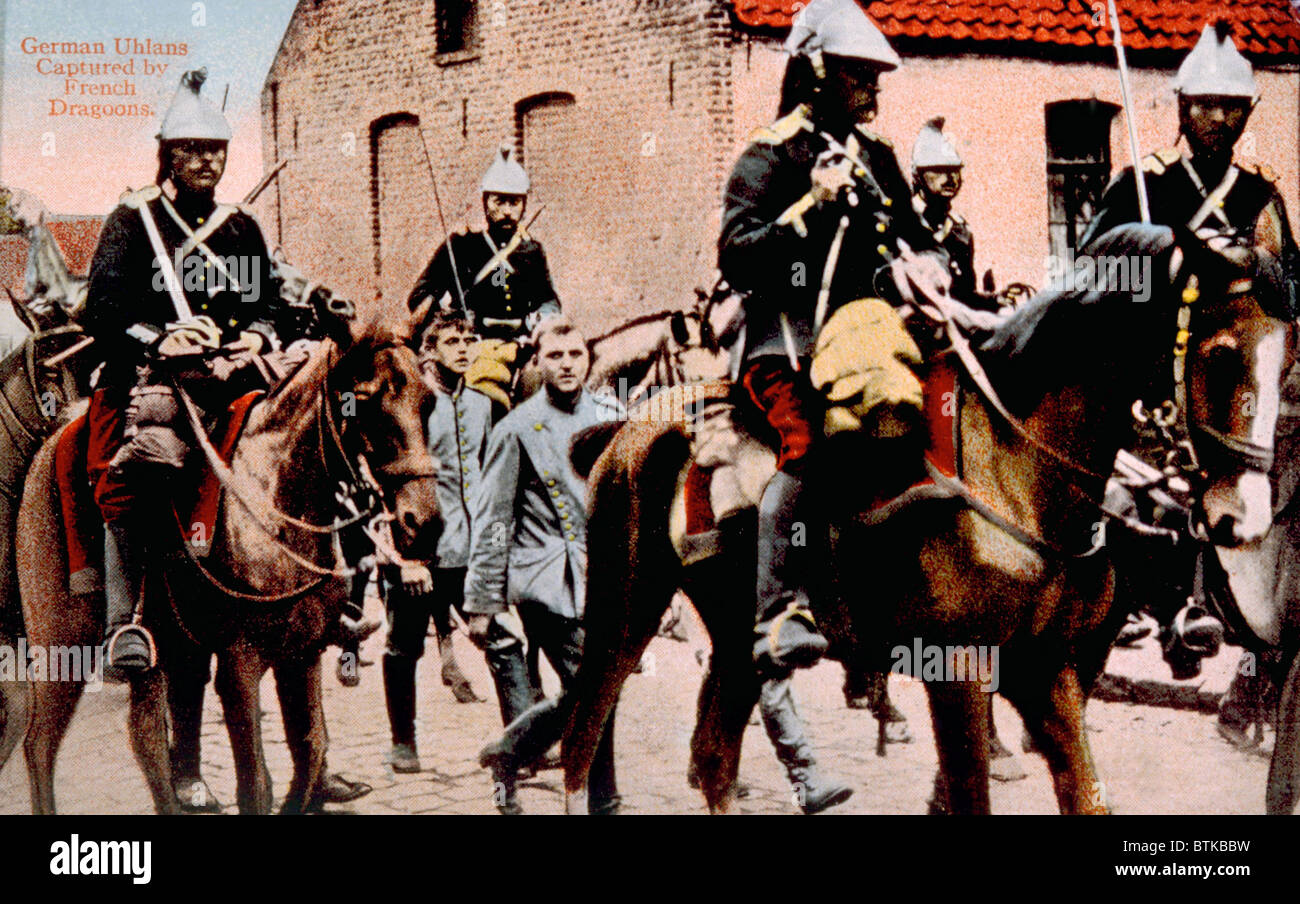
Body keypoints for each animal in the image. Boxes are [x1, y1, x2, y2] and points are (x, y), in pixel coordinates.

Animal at [15, 308, 439, 816]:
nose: (424, 519)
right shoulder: (241, 664)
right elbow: (255, 784)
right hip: (61, 642)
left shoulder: (302, 653)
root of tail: (52, 441)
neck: (273, 498)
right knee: (40, 744)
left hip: (165, 645)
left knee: (148, 738)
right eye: (365, 399)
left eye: (429, 400)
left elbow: (310, 751)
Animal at [564, 222, 1294, 816]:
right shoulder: (958, 670)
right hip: (623, 611)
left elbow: (1085, 794)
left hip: (735, 634)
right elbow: (970, 795)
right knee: (583, 738)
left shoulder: (1046, 668)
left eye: (1288, 360)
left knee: (713, 755)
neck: (1014, 463)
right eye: (1220, 352)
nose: (1243, 517)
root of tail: (631, 426)